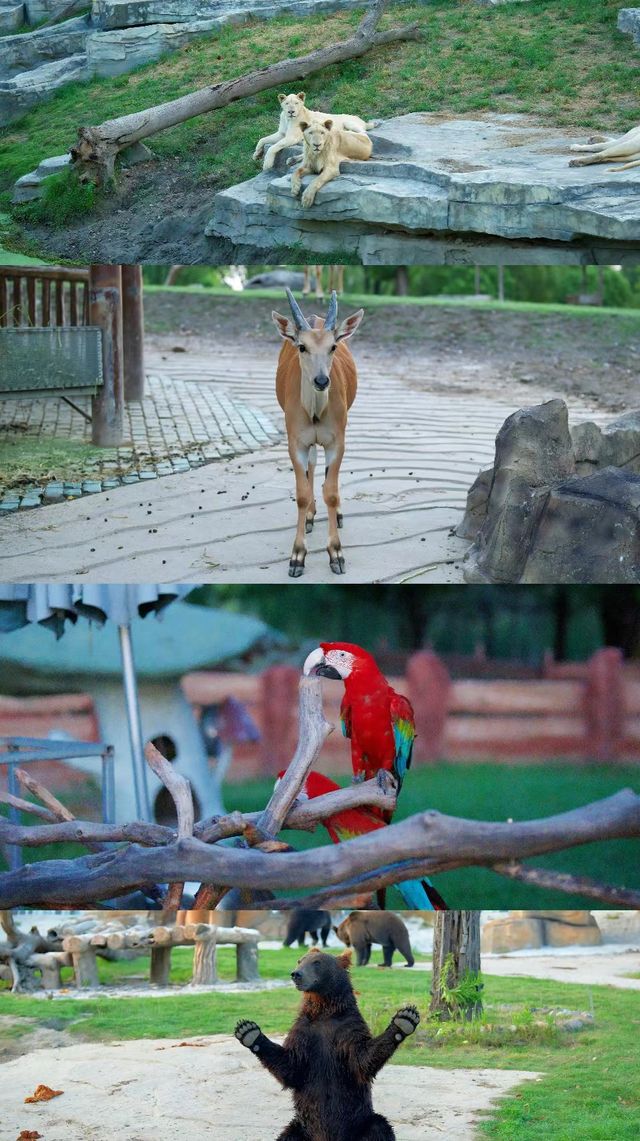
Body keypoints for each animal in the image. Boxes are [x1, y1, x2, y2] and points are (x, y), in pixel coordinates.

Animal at [231, 944, 417, 1141]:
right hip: (301, 1128)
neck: (324, 1011)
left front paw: (404, 1021)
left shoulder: (346, 1028)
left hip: (360, 1122)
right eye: (300, 960)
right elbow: (292, 1066)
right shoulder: (305, 1032)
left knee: (378, 1127)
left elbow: (361, 1059)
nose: (296, 974)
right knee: (287, 1136)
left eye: (317, 962)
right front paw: (249, 1032)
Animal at [271, 289, 365, 575]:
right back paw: (311, 516)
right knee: (312, 467)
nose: (322, 380)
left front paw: (336, 554)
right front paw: (297, 557)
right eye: (302, 347)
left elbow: (331, 492)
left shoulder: (337, 441)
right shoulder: (296, 442)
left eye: (332, 346)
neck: (314, 413)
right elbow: (301, 495)